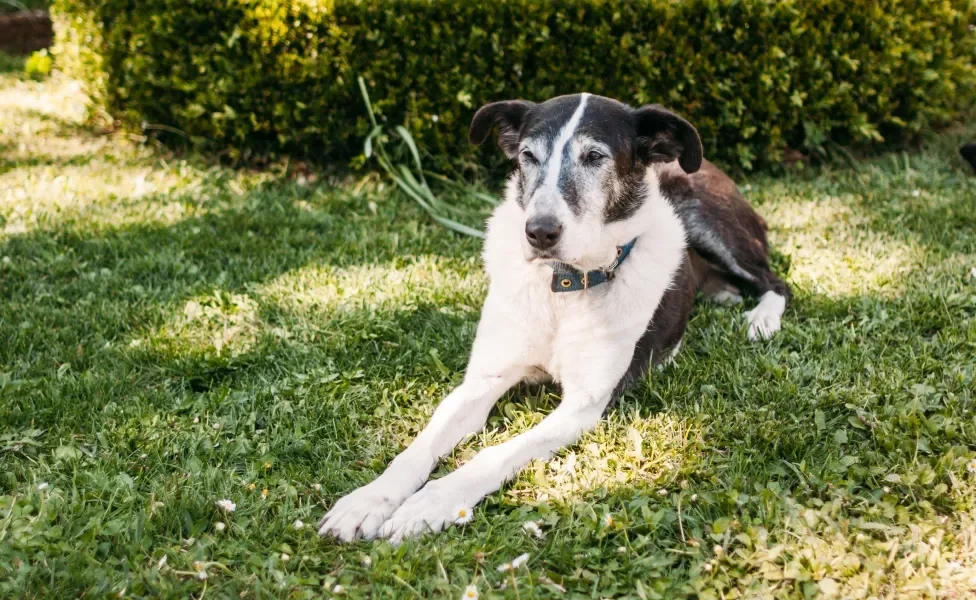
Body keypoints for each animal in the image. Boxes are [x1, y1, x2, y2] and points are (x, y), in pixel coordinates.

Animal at [320, 94, 792, 544]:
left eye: (595, 156)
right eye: (528, 155)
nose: (539, 232)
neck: (563, 287)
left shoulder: (584, 404)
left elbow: (496, 453)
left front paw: (432, 502)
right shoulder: (482, 381)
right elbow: (419, 446)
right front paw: (368, 501)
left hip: (710, 221)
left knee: (777, 281)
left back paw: (761, 319)